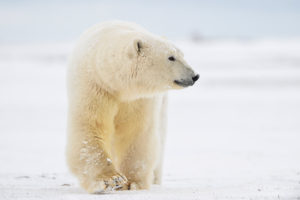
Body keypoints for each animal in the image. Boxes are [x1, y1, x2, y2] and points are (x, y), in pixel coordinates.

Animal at [65, 20, 198, 194]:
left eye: (182, 54)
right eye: (171, 57)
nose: (194, 75)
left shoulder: (138, 99)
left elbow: (136, 132)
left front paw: (132, 183)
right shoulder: (95, 86)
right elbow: (90, 127)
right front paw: (111, 180)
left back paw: (155, 180)